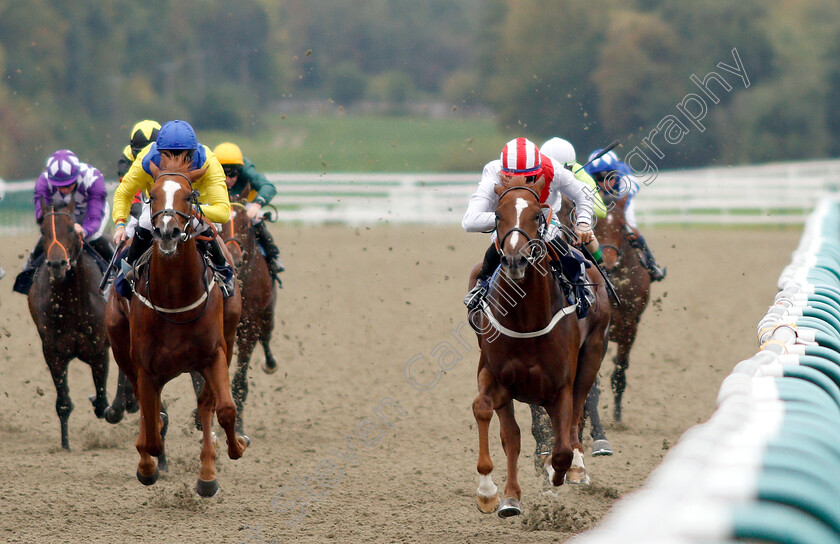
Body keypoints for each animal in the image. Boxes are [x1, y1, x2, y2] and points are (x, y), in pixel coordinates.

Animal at [26, 198, 110, 448]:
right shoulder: (53, 352)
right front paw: (65, 445)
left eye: (72, 229)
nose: (57, 264)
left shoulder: (99, 348)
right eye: (43, 231)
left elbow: (101, 402)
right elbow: (63, 403)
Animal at [104, 154, 246, 498]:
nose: (167, 232)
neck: (174, 299)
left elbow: (224, 408)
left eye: (189, 196)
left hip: (225, 341)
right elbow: (152, 427)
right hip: (121, 346)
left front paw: (236, 446)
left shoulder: (214, 354)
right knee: (148, 408)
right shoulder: (145, 366)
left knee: (206, 406)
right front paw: (147, 465)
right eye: (152, 195)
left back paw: (207, 475)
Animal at [466, 178, 612, 520]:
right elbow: (493, 420)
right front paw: (493, 493)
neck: (525, 321)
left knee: (577, 413)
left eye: (536, 215)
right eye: (497, 215)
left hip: (593, 352)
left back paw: (576, 467)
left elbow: (561, 447)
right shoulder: (494, 374)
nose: (514, 259)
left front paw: (560, 473)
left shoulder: (560, 385)